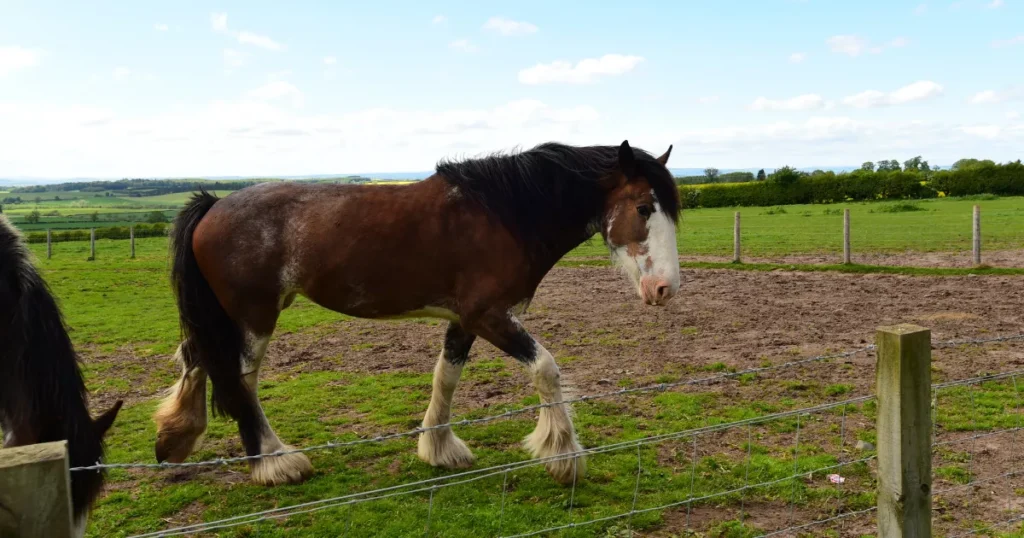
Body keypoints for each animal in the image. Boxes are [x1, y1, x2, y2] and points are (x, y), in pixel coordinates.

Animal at [155, 140, 684, 483]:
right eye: (642, 208)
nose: (665, 288)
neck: (504, 215)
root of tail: (215, 204)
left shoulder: (464, 320)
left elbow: (445, 377)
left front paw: (439, 449)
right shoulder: (489, 316)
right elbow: (546, 369)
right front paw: (563, 456)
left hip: (228, 317)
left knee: (197, 357)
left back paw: (174, 440)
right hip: (253, 317)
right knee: (240, 380)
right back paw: (273, 462)